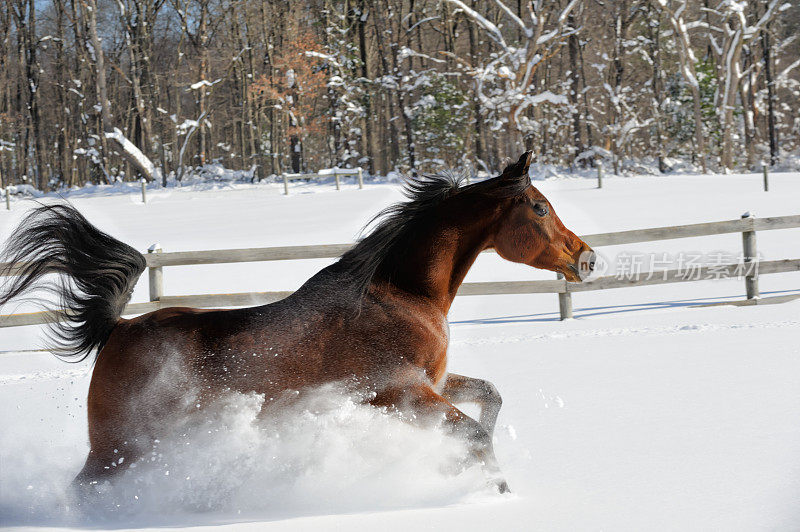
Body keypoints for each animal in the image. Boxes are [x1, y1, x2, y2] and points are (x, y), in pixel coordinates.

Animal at [0, 150, 592, 494]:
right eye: (540, 208)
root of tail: (118, 330)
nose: (586, 259)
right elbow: (471, 432)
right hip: (118, 446)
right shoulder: (400, 392)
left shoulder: (433, 384)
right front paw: (496, 491)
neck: (402, 295)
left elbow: (490, 399)